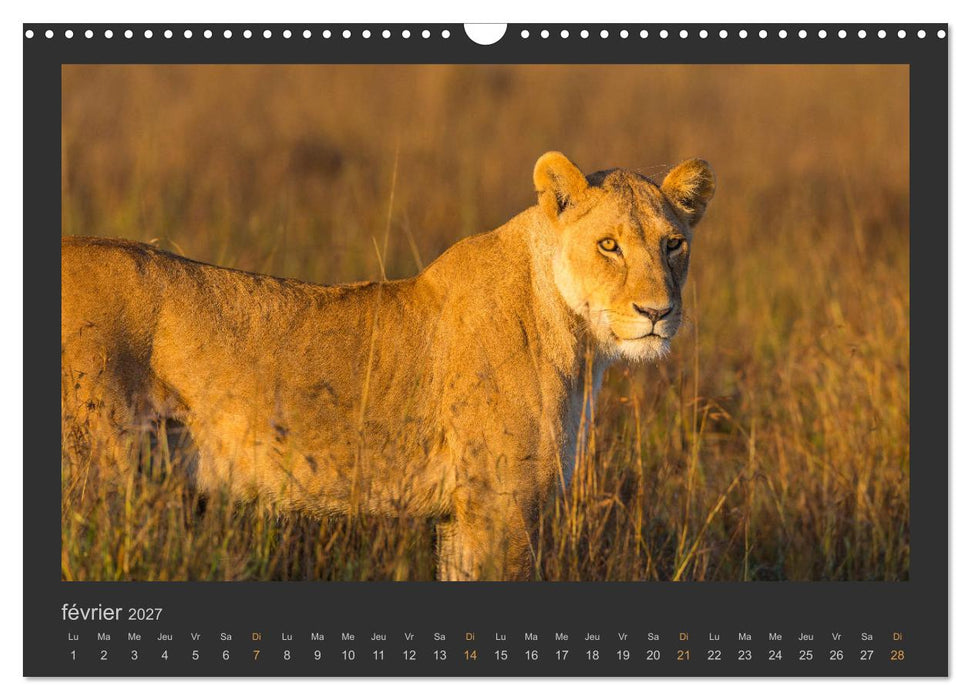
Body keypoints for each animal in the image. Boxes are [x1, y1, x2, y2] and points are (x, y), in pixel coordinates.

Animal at [61, 151, 715, 581]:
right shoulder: (500, 503)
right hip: (94, 469)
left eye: (673, 244)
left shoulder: (461, 515)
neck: (578, 339)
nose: (658, 312)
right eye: (609, 245)